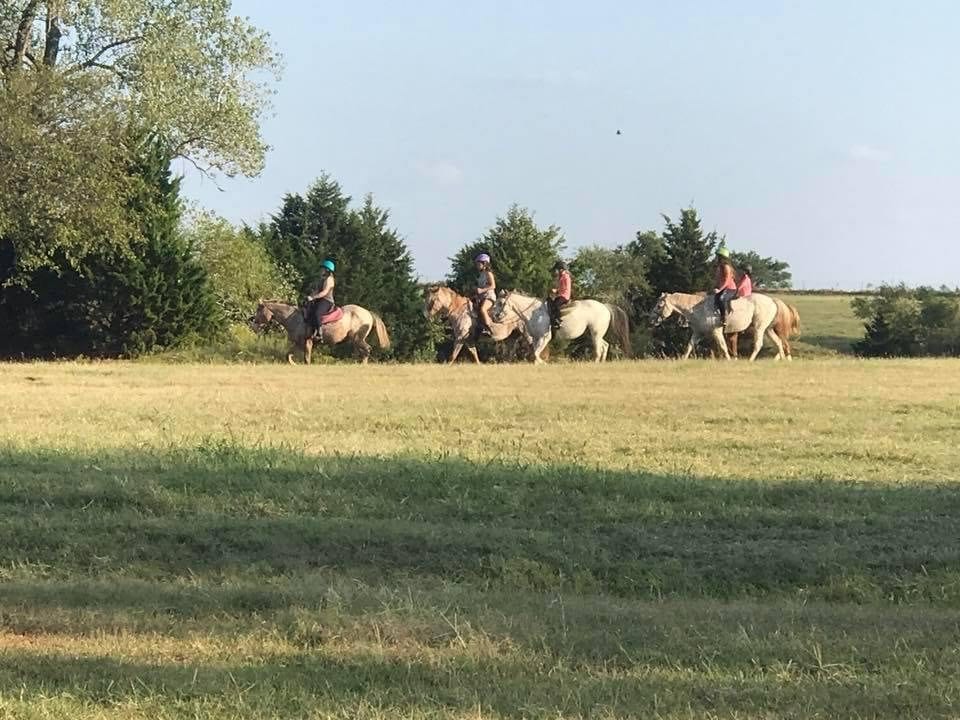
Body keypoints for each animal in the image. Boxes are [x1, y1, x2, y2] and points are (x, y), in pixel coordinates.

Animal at [251, 300, 390, 365]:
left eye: (259, 310)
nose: (254, 324)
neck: (294, 318)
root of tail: (367, 313)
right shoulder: (298, 343)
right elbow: (288, 355)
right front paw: (293, 364)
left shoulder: (307, 342)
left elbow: (306, 358)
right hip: (355, 341)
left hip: (358, 339)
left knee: (367, 349)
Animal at [492, 290, 632, 364]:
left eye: (500, 303)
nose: (493, 316)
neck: (534, 313)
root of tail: (605, 306)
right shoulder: (536, 338)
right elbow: (535, 353)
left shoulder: (544, 337)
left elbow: (536, 353)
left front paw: (542, 363)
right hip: (595, 334)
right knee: (605, 345)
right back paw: (601, 362)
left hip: (595, 334)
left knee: (599, 349)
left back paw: (595, 362)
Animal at [650, 291, 784, 361]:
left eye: (659, 306)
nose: (651, 320)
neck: (697, 308)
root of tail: (772, 300)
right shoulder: (697, 333)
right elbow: (689, 346)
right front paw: (682, 359)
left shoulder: (716, 332)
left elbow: (723, 346)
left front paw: (729, 360)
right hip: (768, 330)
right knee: (778, 342)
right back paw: (783, 359)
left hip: (759, 328)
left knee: (758, 344)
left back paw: (750, 360)